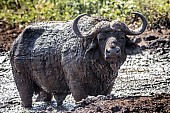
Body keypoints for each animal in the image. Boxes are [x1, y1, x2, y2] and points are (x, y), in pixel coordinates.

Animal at [9, 12, 146, 107]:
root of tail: (15, 44)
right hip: (22, 80)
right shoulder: (76, 87)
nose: (112, 51)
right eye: (100, 38)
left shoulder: (108, 87)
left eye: (121, 37)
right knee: (26, 97)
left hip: (44, 88)